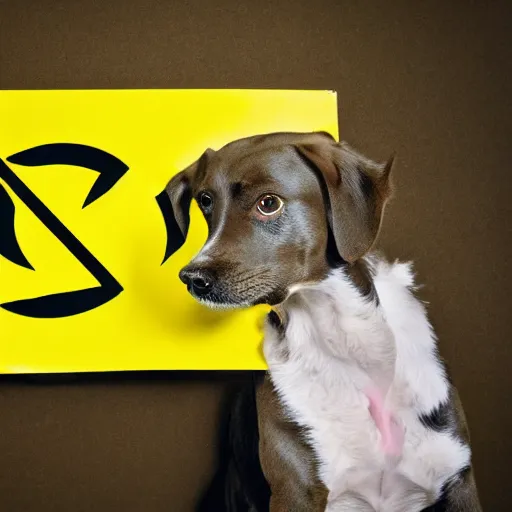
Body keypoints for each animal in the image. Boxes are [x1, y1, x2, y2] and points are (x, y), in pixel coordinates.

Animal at [163, 132, 480, 512]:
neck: (341, 337)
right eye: (206, 202)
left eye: (268, 203)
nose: (192, 278)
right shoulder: (295, 493)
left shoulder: (458, 479)